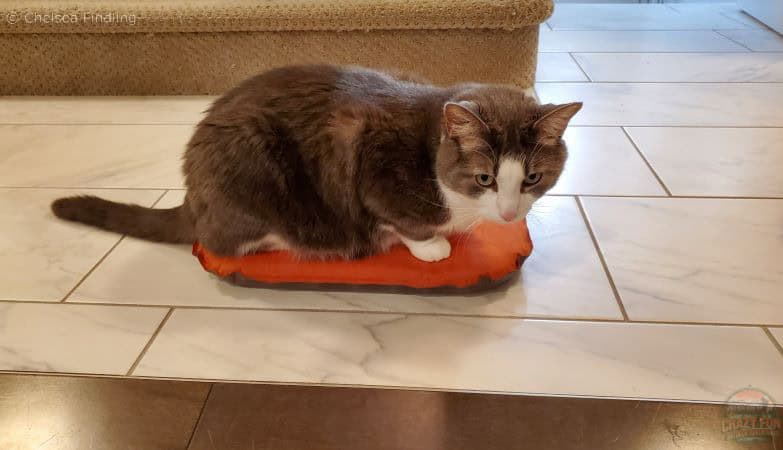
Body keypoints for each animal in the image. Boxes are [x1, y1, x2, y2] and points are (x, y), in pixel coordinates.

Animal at [52, 67, 580, 264]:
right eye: (485, 178)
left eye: (533, 178)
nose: (510, 214)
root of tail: (191, 196)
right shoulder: (375, 169)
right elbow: (401, 219)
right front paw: (430, 246)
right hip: (252, 169)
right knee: (224, 242)